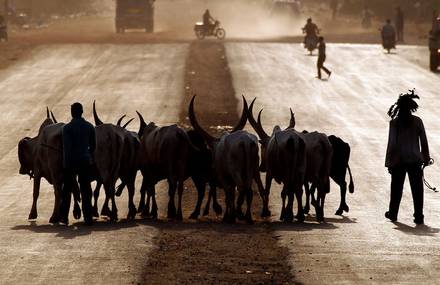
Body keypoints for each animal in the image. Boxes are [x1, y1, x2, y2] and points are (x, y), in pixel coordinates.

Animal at [188, 94, 262, 223]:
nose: (212, 165)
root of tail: (246, 142)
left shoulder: (224, 177)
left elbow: (228, 195)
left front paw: (228, 216)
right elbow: (231, 194)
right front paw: (229, 215)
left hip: (236, 171)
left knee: (242, 188)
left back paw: (239, 214)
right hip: (252, 170)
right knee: (249, 191)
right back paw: (247, 217)